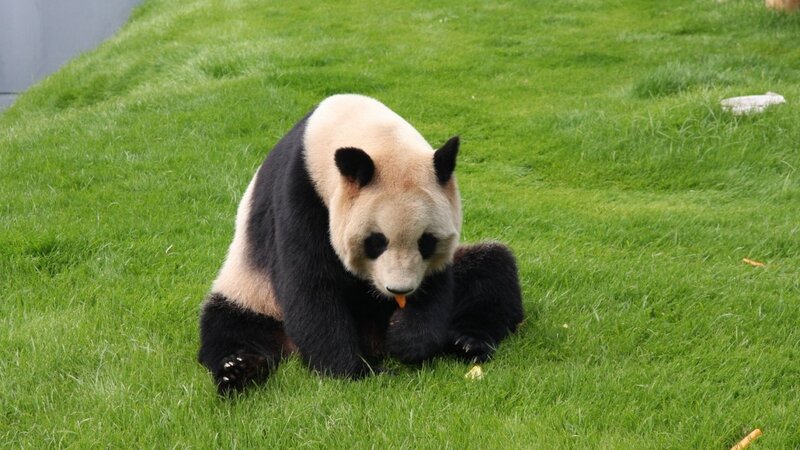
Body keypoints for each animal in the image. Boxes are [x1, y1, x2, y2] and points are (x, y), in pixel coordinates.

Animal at [198, 94, 524, 394]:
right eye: (376, 242)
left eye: (426, 242)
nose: (399, 290)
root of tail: (373, 340)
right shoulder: (299, 195)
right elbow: (310, 284)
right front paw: (355, 371)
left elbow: (436, 283)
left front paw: (408, 340)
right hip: (254, 292)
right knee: (232, 326)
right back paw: (237, 370)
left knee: (492, 271)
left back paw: (467, 341)